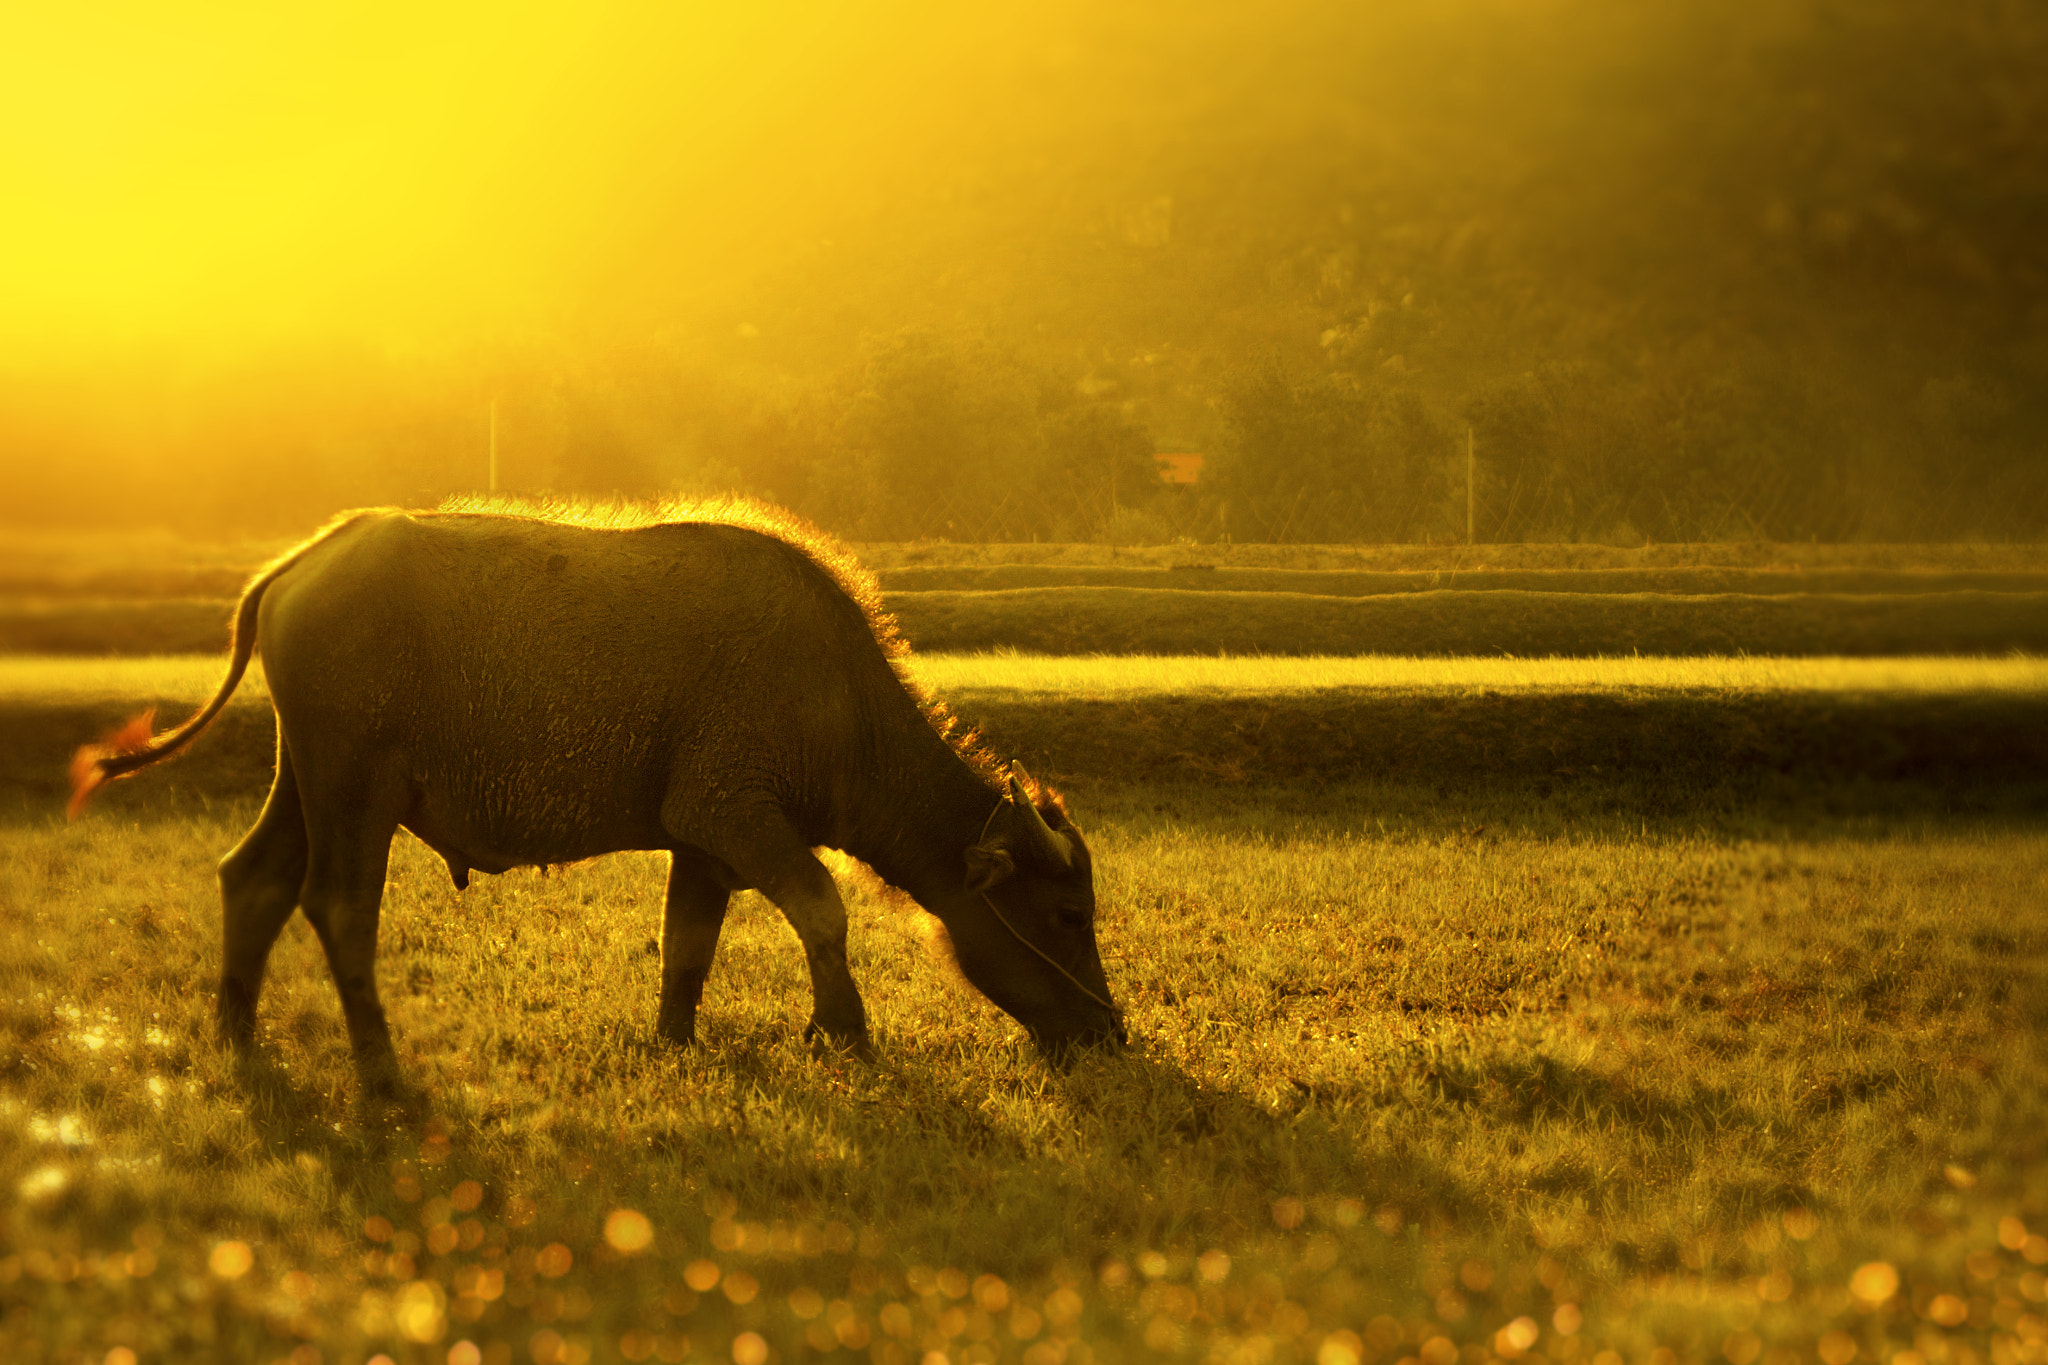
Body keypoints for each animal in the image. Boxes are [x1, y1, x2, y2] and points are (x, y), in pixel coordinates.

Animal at [68, 505, 1122, 1088]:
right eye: (1069, 914)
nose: (1110, 1034)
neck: (837, 698)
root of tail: (297, 564)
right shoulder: (734, 810)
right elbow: (823, 908)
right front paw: (846, 1033)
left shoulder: (702, 840)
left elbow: (688, 946)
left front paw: (675, 1042)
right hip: (355, 783)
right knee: (338, 907)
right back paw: (383, 1076)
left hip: (308, 777)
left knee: (252, 879)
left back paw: (239, 1040)